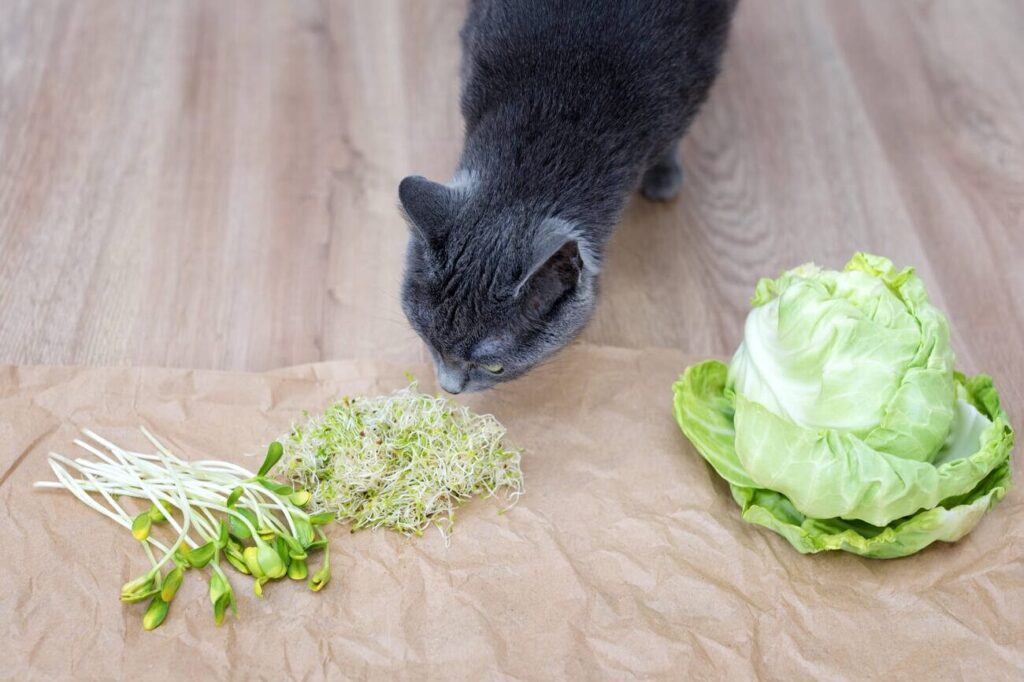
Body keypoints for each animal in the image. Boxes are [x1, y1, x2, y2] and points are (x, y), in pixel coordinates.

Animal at [397, 1, 737, 393]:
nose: (449, 388)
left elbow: (672, 138)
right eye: (427, 335)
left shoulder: (693, 79)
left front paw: (664, 173)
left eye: (494, 367)